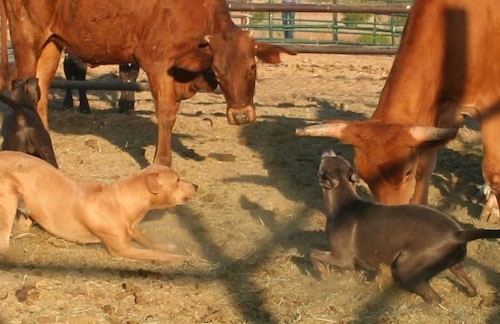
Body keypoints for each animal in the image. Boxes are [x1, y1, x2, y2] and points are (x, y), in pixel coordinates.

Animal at [0, 0, 296, 166]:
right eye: (218, 70)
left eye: (252, 68)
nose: (241, 115)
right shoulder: (159, 65)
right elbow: (166, 115)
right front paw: (162, 162)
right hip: (27, 37)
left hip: (52, 43)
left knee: (40, 92)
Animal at [0, 151, 198, 262]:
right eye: (177, 180)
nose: (196, 186)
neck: (121, 202)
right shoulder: (121, 249)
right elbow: (153, 254)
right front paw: (180, 258)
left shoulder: (132, 230)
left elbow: (149, 242)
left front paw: (167, 246)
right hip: (8, 201)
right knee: (4, 242)